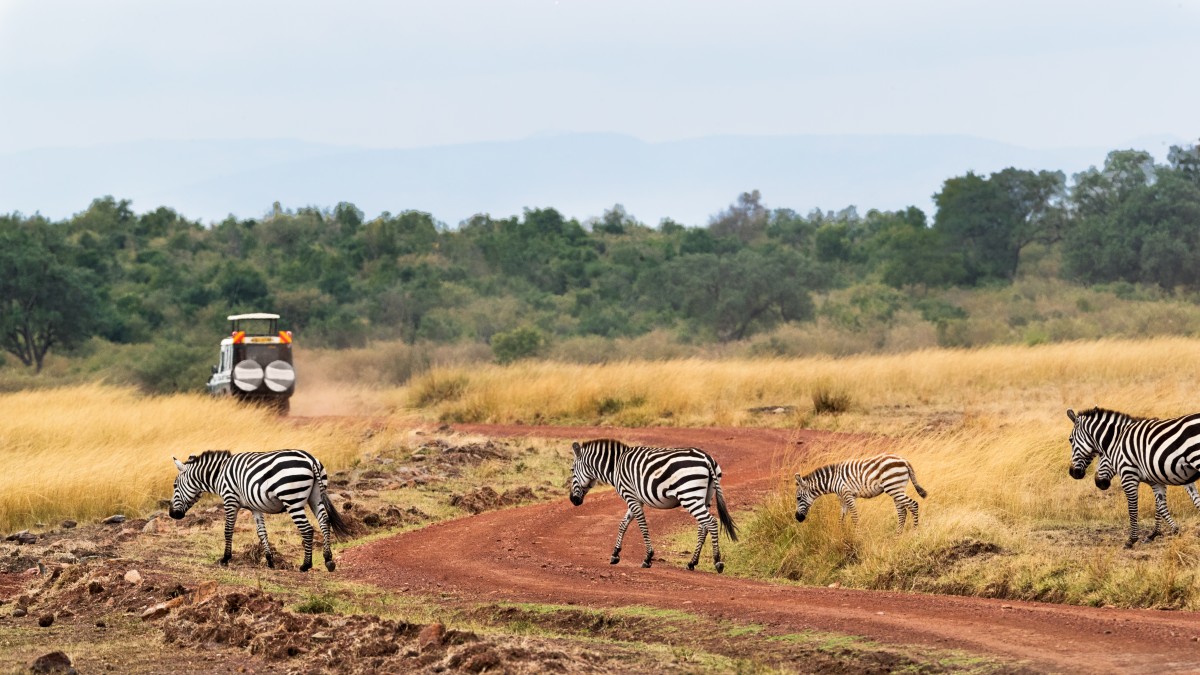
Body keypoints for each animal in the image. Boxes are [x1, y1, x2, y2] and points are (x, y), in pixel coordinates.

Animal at [168, 449, 350, 569]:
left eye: (175, 486)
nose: (172, 514)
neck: (218, 475)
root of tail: (310, 459)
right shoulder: (255, 507)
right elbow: (262, 532)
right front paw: (269, 560)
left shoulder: (230, 499)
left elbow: (228, 530)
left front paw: (225, 558)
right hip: (316, 496)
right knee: (324, 522)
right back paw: (328, 560)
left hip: (292, 499)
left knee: (307, 529)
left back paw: (306, 565)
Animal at [566, 437, 734, 571]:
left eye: (572, 470)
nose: (573, 500)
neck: (615, 467)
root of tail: (707, 458)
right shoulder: (636, 498)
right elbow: (623, 524)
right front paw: (615, 554)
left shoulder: (630, 496)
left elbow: (642, 525)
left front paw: (647, 557)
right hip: (706, 496)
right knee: (703, 526)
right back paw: (692, 562)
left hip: (689, 495)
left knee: (711, 522)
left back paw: (717, 562)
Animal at [796, 451, 926, 530]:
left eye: (798, 498)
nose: (797, 518)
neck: (832, 480)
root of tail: (904, 460)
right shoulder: (842, 497)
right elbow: (842, 517)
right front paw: (840, 534)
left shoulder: (848, 494)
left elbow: (854, 516)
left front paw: (857, 535)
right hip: (897, 489)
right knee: (902, 512)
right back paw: (897, 537)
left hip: (894, 488)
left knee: (913, 505)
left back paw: (914, 532)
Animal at [1065, 403, 1200, 547]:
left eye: (1070, 440)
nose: (1073, 473)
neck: (1117, 441)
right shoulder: (1157, 478)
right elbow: (1162, 506)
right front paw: (1167, 531)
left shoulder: (1128, 476)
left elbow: (1133, 509)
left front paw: (1132, 540)